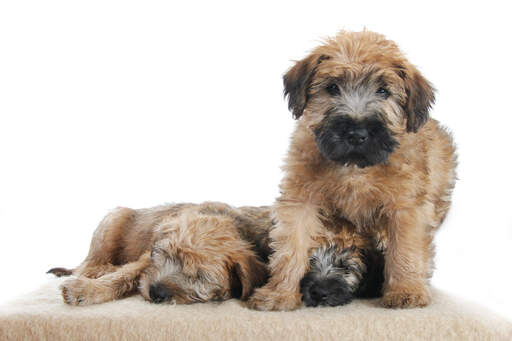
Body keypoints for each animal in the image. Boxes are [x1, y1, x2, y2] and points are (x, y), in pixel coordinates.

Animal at [48, 202, 272, 306]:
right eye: (164, 255)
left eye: (200, 276)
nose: (156, 292)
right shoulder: (146, 257)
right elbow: (125, 274)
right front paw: (87, 290)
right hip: (114, 219)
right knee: (88, 265)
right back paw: (100, 270)